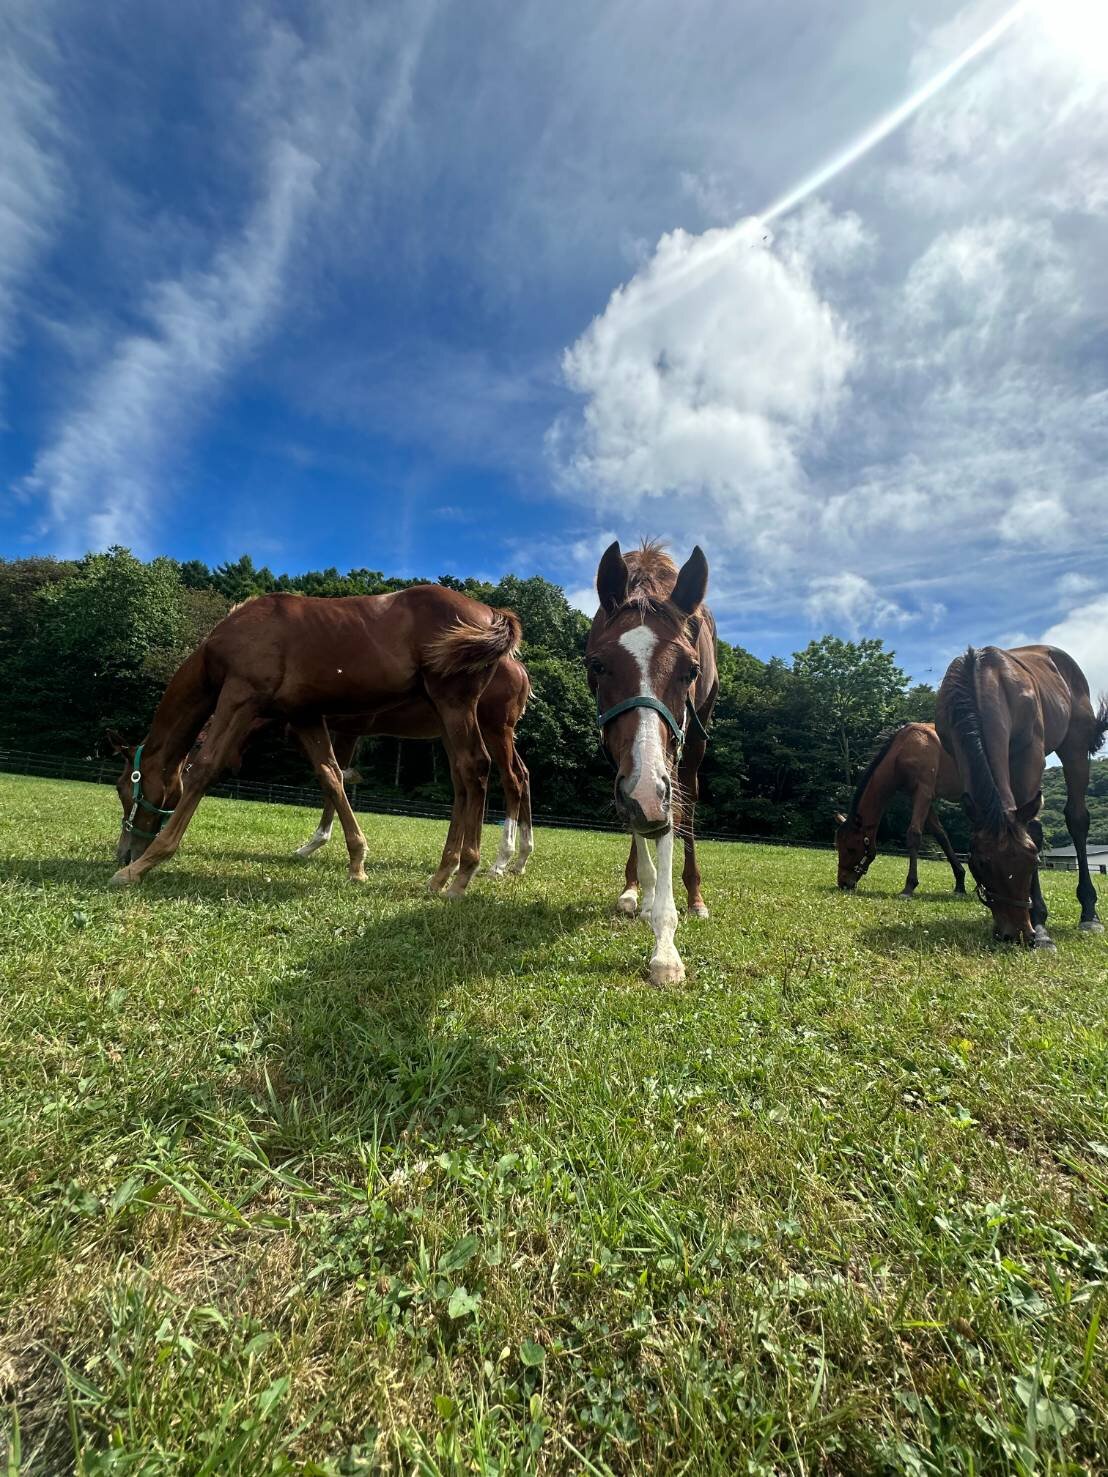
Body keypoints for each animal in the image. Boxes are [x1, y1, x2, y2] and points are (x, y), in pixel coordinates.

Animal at [293, 655, 534, 878]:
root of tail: (519, 668)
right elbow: (332, 773)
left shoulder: (345, 728)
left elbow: (331, 775)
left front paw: (315, 842)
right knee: (523, 774)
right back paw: (521, 859)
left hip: (497, 731)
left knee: (512, 780)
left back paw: (501, 861)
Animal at [586, 540, 718, 985]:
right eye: (597, 665)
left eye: (690, 670)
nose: (645, 793)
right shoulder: (620, 754)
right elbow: (639, 818)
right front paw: (642, 894)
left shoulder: (672, 754)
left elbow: (668, 815)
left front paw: (665, 950)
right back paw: (632, 893)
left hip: (694, 743)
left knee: (687, 805)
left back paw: (694, 898)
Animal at [834, 722, 967, 897]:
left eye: (850, 849)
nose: (843, 883)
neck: (905, 748)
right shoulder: (920, 797)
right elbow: (941, 836)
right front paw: (960, 882)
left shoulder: (923, 792)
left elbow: (914, 835)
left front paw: (909, 886)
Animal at [936, 644, 1107, 948]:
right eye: (981, 864)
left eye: (1033, 861)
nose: (1016, 932)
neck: (981, 678)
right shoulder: (957, 753)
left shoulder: (1030, 755)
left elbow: (1034, 828)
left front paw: (1040, 925)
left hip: (1075, 747)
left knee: (1077, 819)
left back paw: (1089, 914)